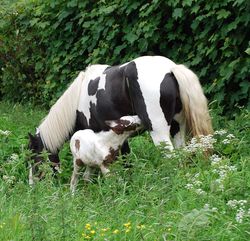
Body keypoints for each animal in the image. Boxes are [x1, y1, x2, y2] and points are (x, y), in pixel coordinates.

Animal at [28, 55, 213, 183]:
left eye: (33, 157)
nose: (33, 186)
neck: (77, 99)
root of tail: (171, 69)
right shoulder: (119, 139)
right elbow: (125, 162)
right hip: (177, 127)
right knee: (182, 155)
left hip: (159, 133)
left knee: (171, 158)